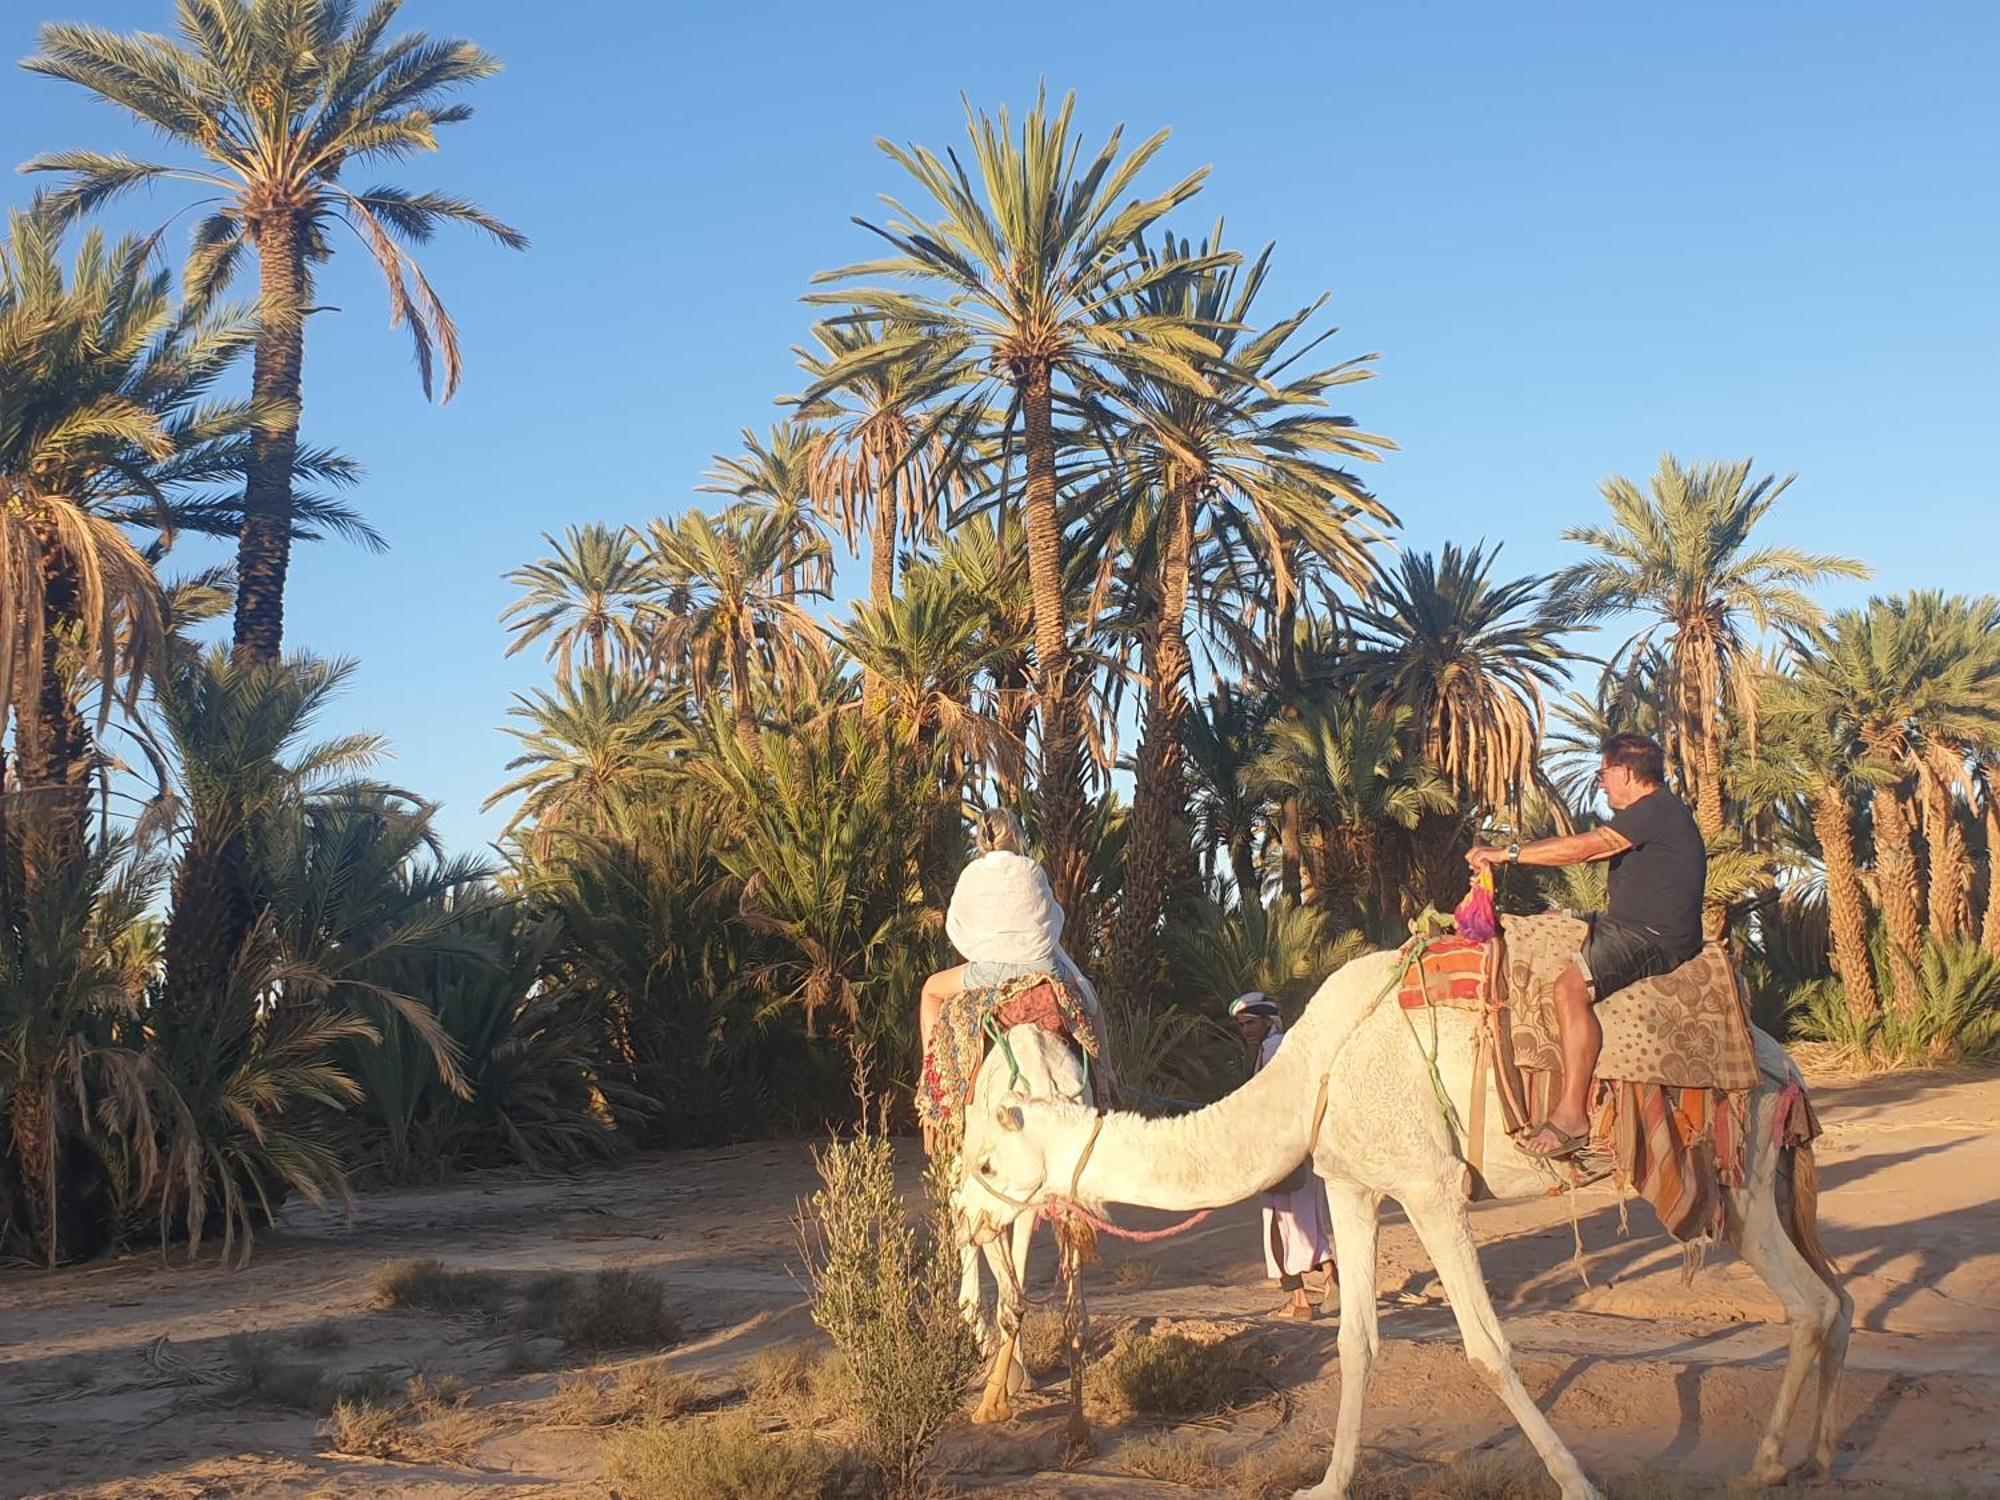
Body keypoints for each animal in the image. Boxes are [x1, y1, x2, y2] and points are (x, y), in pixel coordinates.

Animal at [960, 952, 1848, 1500]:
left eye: (986, 1164)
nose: (967, 1223)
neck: (1310, 1077)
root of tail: (1786, 1065)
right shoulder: (1353, 1184)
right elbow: (1356, 1340)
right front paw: (1326, 1484)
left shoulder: (1430, 1185)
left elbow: (1487, 1348)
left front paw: (1578, 1483)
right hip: (1760, 1181)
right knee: (1834, 1301)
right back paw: (1812, 1456)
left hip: (1739, 1172)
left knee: (1809, 1304)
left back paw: (1768, 1465)